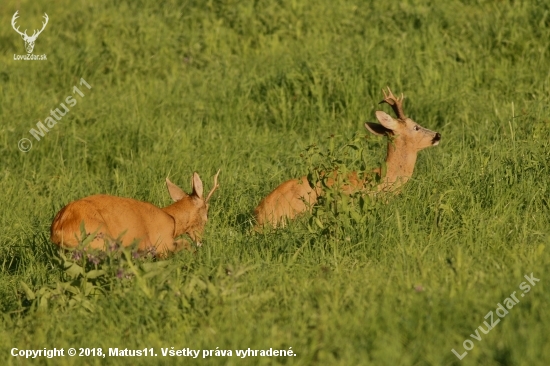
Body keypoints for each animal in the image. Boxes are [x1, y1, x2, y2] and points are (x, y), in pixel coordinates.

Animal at [50, 170, 221, 256]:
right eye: (206, 216)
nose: (200, 242)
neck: (172, 220)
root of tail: (58, 229)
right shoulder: (162, 244)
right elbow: (184, 245)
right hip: (99, 242)